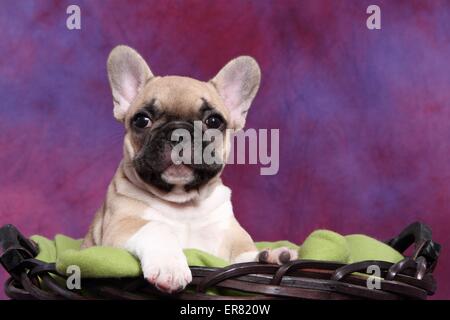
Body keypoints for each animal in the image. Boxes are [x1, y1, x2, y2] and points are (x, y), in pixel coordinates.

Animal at [82, 45, 298, 292]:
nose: (178, 133)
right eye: (141, 120)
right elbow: (156, 228)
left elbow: (241, 257)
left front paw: (269, 255)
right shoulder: (120, 228)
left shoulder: (227, 236)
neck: (183, 205)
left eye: (214, 121)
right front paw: (169, 267)